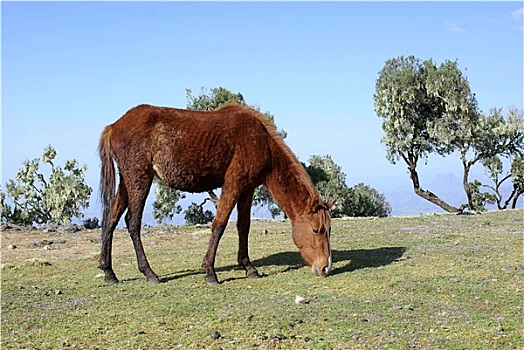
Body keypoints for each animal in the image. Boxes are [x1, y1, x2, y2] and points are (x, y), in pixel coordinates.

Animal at [99, 102, 336, 284]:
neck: (260, 141)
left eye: (329, 229)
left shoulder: (247, 189)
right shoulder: (233, 184)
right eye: (316, 230)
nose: (326, 267)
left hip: (126, 182)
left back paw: (109, 272)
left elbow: (243, 227)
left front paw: (249, 268)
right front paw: (210, 272)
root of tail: (114, 126)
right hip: (139, 179)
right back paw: (149, 273)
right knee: (132, 222)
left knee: (111, 219)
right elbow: (219, 225)